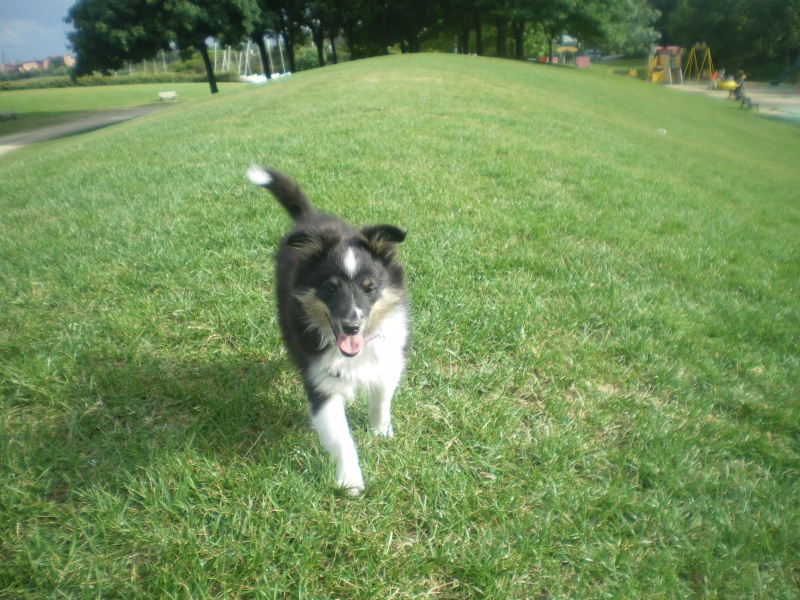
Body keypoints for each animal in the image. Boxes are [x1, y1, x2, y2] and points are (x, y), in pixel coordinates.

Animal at [245, 166, 410, 494]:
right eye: (330, 288)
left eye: (369, 288)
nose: (351, 325)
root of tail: (310, 218)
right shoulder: (321, 382)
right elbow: (341, 437)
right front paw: (351, 482)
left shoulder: (387, 359)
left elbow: (382, 400)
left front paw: (381, 433)